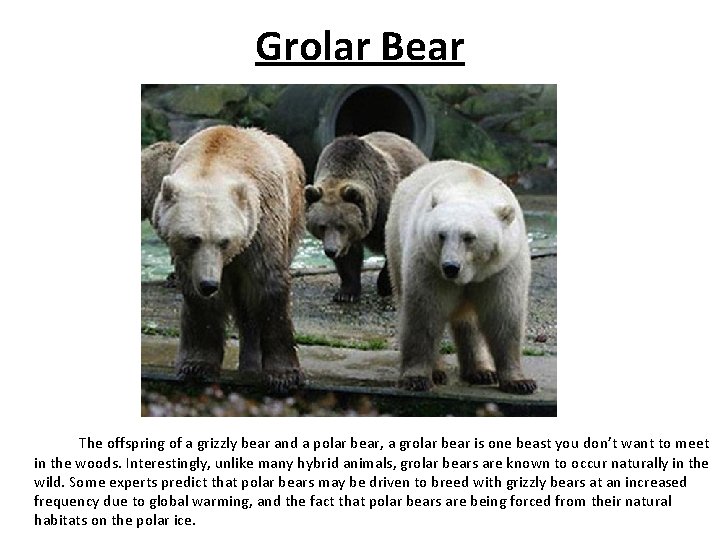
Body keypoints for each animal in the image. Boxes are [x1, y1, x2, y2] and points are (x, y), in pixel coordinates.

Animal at [152, 126, 306, 393]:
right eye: (193, 239)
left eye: (224, 240)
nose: (209, 284)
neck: (215, 157)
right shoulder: (191, 262)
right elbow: (199, 302)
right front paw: (196, 366)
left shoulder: (262, 225)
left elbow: (268, 286)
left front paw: (283, 375)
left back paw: (251, 363)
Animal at [304, 131, 428, 303]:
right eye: (322, 226)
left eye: (341, 226)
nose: (330, 250)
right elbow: (349, 259)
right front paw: (346, 293)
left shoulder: (384, 209)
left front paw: (385, 285)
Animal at [385, 160, 537, 394]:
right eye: (441, 235)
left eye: (469, 237)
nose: (450, 267)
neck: (472, 185)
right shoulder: (428, 263)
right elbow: (424, 313)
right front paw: (416, 378)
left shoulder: (503, 266)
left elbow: (504, 316)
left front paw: (520, 382)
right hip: (395, 243)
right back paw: (438, 372)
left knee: (468, 321)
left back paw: (482, 371)